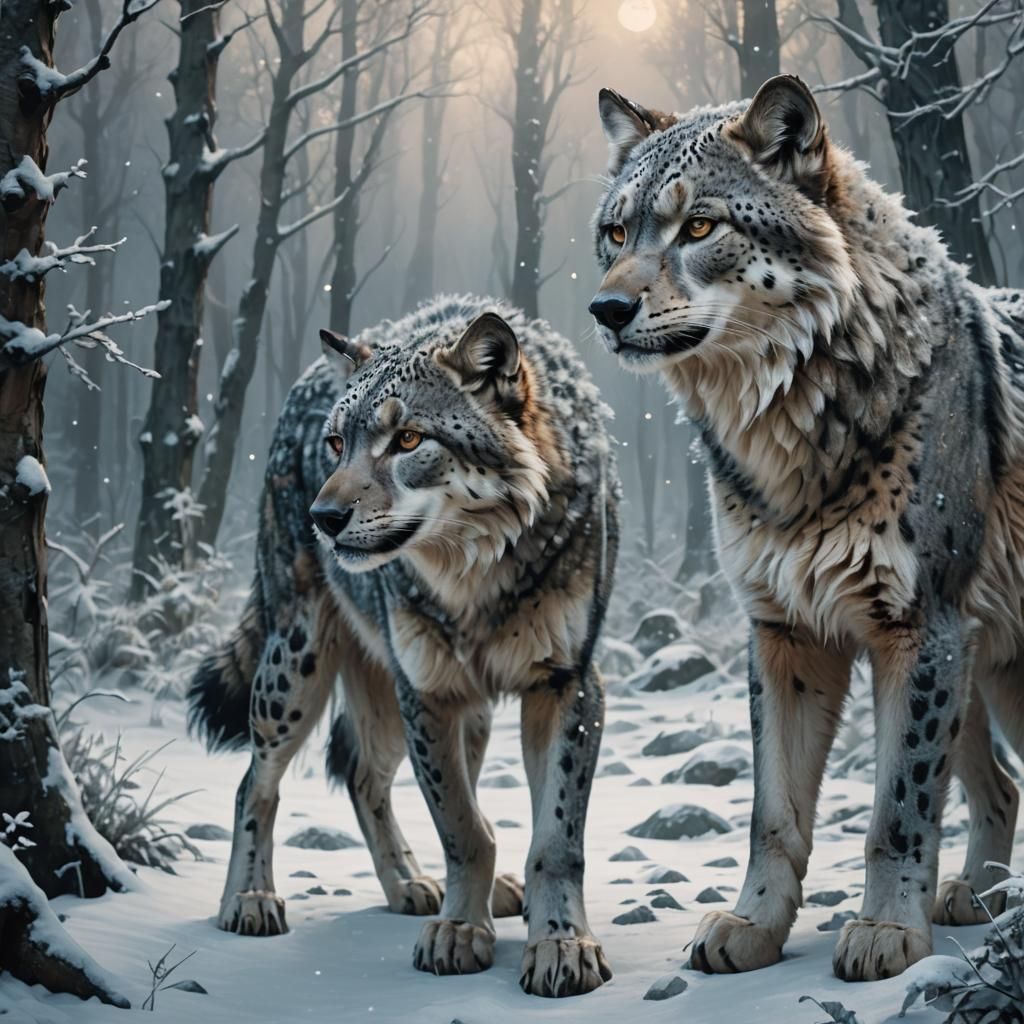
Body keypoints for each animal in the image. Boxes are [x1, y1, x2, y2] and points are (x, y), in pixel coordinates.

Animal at [188, 296, 618, 997]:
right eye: (338, 444)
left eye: (409, 440)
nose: (323, 517)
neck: (476, 580)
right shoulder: (427, 691)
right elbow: (461, 828)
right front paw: (461, 931)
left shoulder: (566, 682)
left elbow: (554, 838)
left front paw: (560, 944)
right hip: (299, 671)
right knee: (257, 781)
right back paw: (250, 899)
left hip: (447, 713)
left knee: (360, 773)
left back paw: (414, 885)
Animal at [589, 75, 1024, 982]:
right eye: (616, 232)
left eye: (699, 227)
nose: (605, 308)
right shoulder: (784, 630)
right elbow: (774, 816)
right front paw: (751, 928)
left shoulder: (914, 628)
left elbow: (897, 810)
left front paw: (887, 932)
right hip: (979, 671)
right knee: (1003, 787)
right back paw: (977, 898)